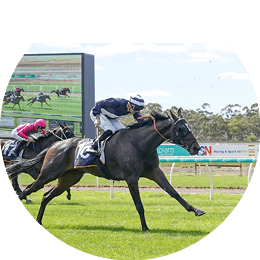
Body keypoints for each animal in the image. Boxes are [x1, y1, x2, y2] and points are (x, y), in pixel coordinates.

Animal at [7, 108, 204, 231]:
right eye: (181, 128)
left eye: (188, 127)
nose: (196, 147)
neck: (139, 143)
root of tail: (55, 145)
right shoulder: (131, 178)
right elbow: (139, 204)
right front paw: (145, 227)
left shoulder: (155, 172)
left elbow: (173, 192)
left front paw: (195, 210)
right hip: (48, 173)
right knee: (30, 188)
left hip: (69, 178)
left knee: (46, 195)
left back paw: (39, 220)